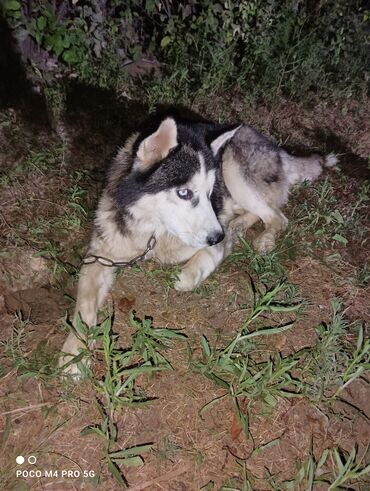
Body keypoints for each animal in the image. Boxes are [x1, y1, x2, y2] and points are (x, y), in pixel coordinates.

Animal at [60, 117, 336, 374]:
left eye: (209, 192)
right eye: (184, 193)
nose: (217, 236)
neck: (151, 231)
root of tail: (274, 147)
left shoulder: (208, 239)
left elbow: (199, 264)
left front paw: (189, 274)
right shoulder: (99, 255)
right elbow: (83, 308)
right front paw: (74, 352)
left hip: (234, 172)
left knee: (277, 217)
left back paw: (262, 238)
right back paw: (239, 225)